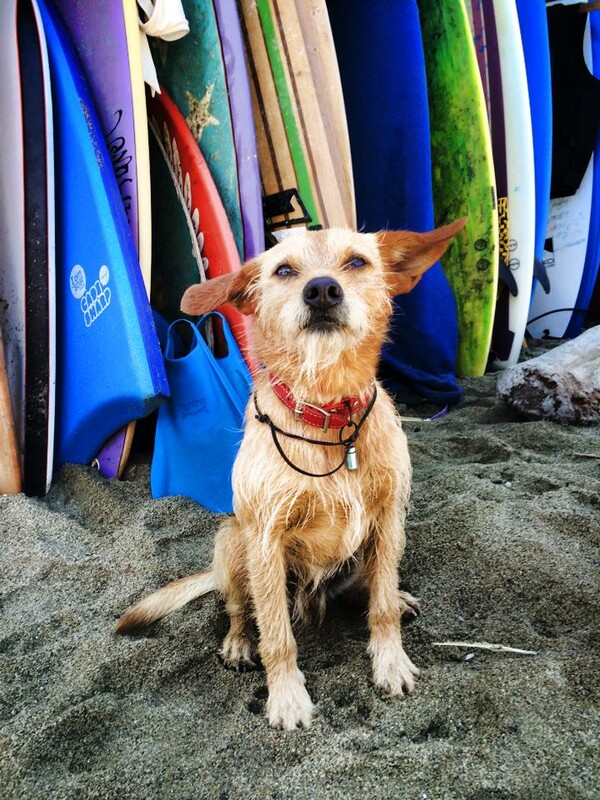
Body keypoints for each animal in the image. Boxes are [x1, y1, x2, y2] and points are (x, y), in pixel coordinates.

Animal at [117, 216, 464, 728]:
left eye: (357, 261)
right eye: (284, 270)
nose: (322, 290)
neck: (329, 416)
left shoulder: (388, 519)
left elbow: (380, 606)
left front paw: (390, 660)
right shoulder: (265, 539)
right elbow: (276, 633)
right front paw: (287, 697)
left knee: (370, 587)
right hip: (232, 541)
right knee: (240, 609)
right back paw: (238, 642)